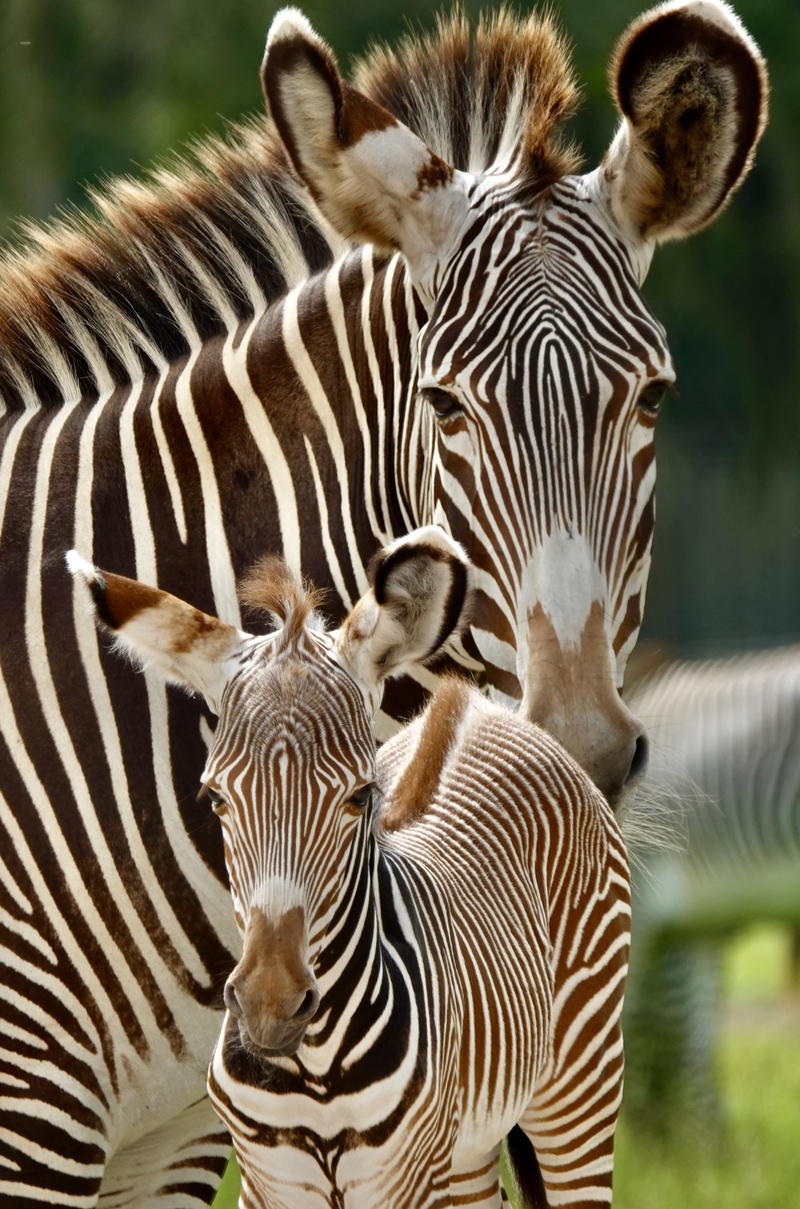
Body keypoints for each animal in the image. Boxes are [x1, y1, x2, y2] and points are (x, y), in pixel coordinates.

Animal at [70, 531, 633, 1209]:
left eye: (362, 797)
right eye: (215, 799)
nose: (268, 1007)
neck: (315, 1077)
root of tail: (481, 709)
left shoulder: (404, 1179)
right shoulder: (268, 1182)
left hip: (580, 1090)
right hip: (468, 1151)